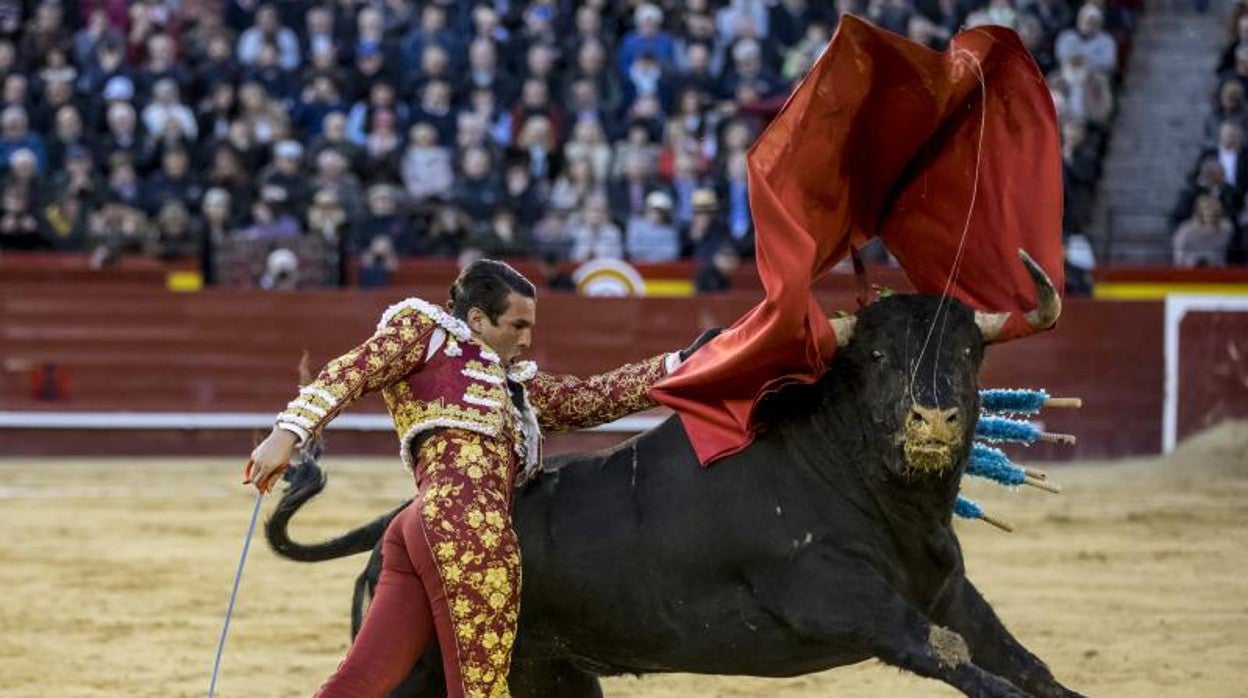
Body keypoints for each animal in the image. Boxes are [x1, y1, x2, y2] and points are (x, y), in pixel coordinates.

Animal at [270, 292, 1083, 694]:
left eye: (971, 352)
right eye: (878, 354)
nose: (934, 419)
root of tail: (395, 528)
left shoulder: (949, 593)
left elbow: (1026, 667)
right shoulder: (845, 603)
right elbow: (964, 665)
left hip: (554, 678)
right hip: (419, 668)